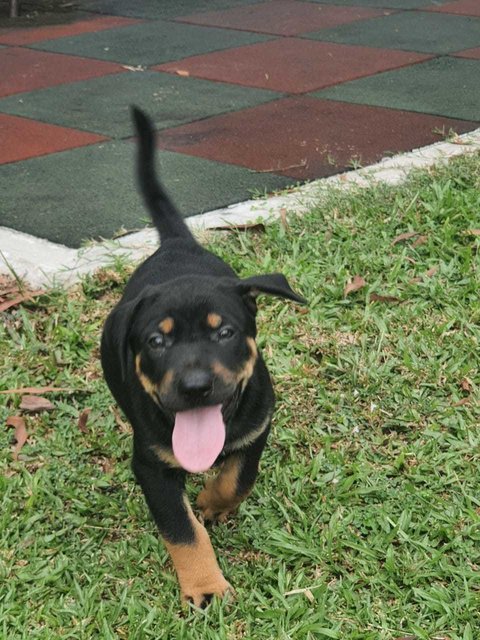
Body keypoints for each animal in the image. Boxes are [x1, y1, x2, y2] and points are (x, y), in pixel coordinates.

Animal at [100, 107, 308, 608]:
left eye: (225, 333)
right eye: (156, 342)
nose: (195, 387)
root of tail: (178, 244)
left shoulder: (257, 425)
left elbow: (239, 478)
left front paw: (213, 503)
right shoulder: (152, 467)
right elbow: (182, 531)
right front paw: (206, 587)